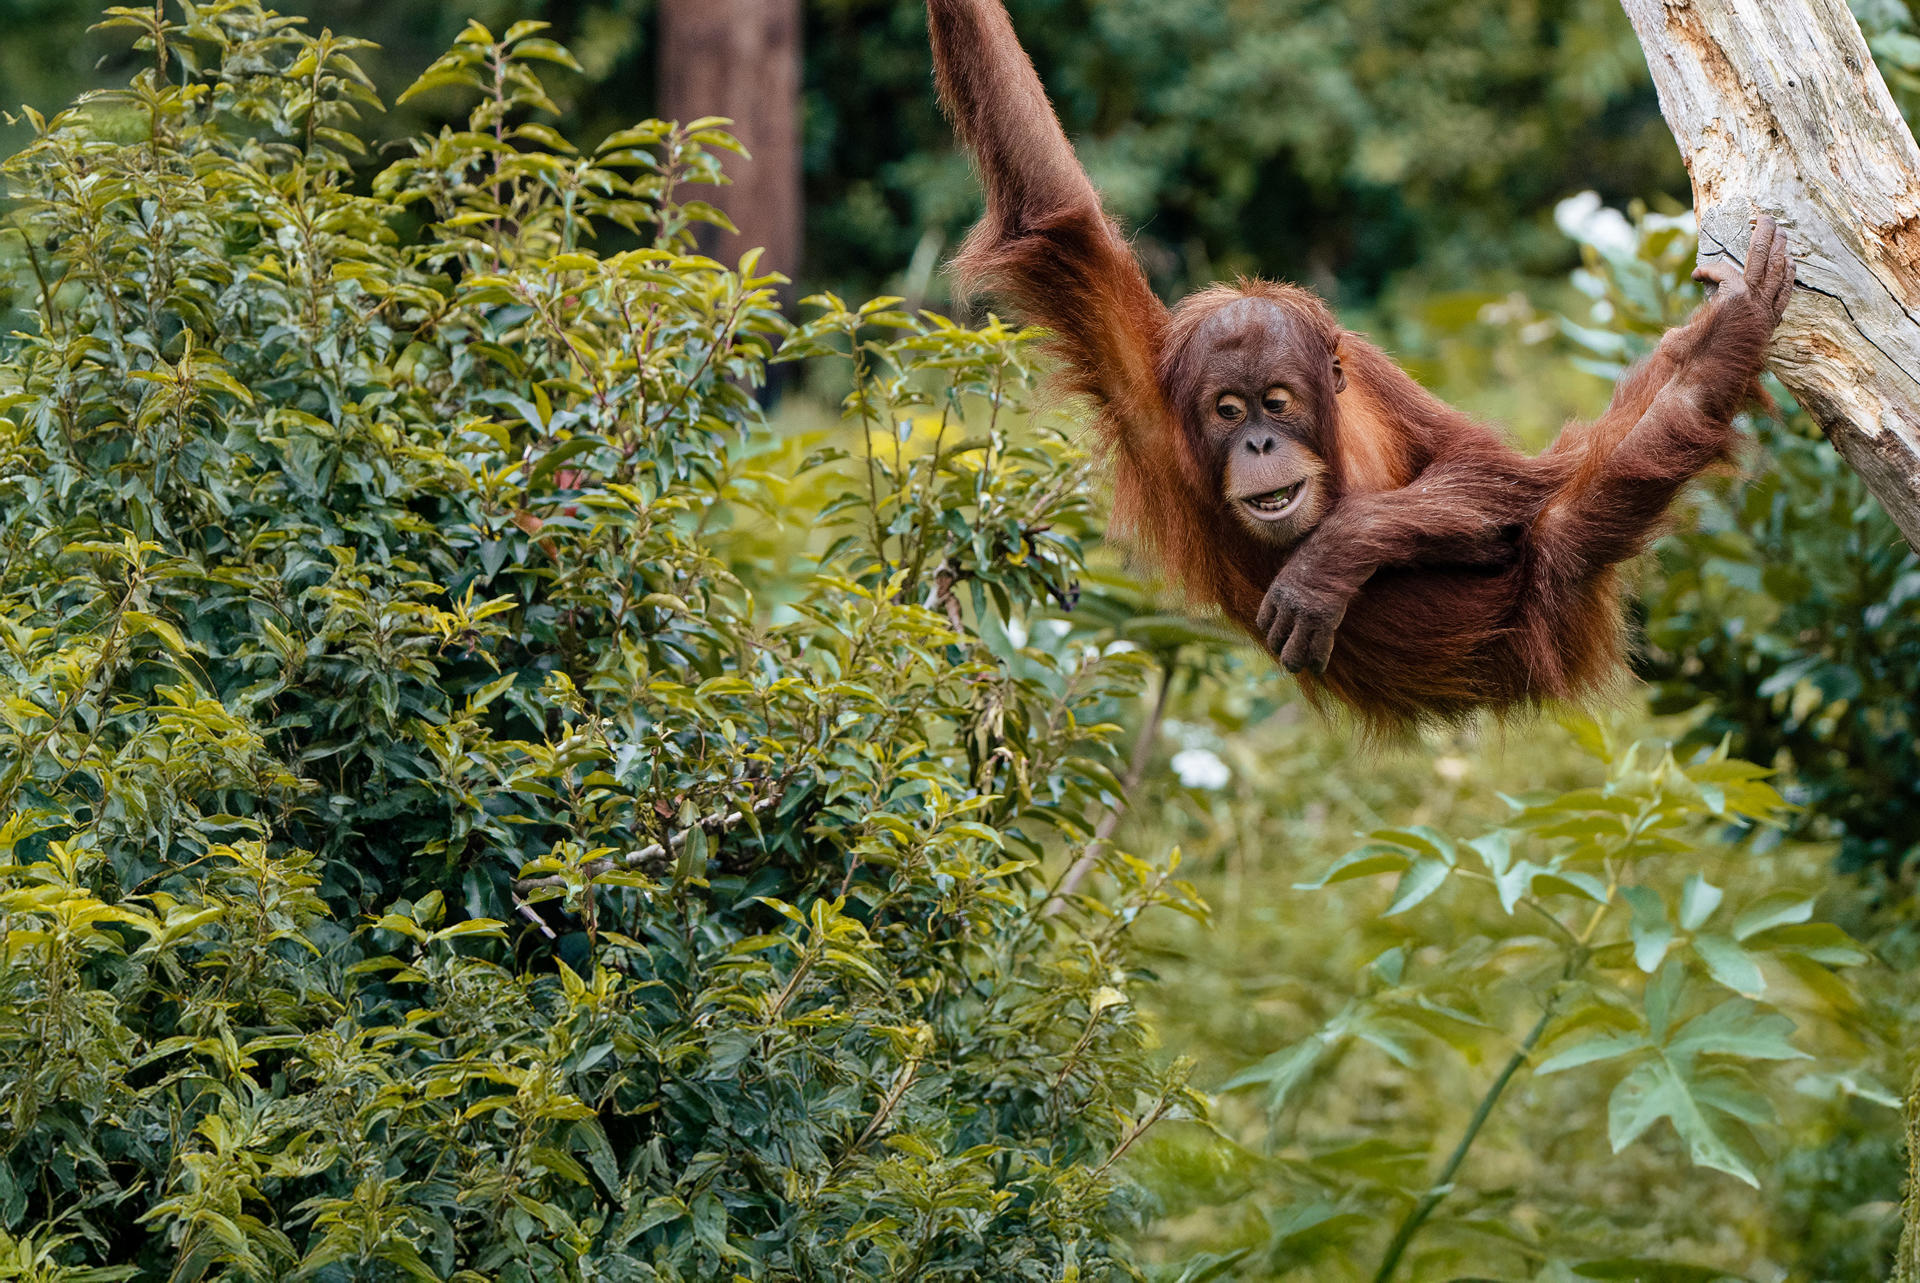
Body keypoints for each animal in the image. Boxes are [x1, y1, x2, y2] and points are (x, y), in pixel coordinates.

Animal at [925, 0, 1794, 733]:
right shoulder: (1145, 389)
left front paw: (1329, 562)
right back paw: (1715, 360)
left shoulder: (1366, 365)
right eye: (1228, 411)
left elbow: (1487, 466)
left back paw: (1718, 341)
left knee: (1566, 491)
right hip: (1542, 616)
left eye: (1277, 401)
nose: (1260, 443)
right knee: (1584, 510)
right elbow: (1054, 217)